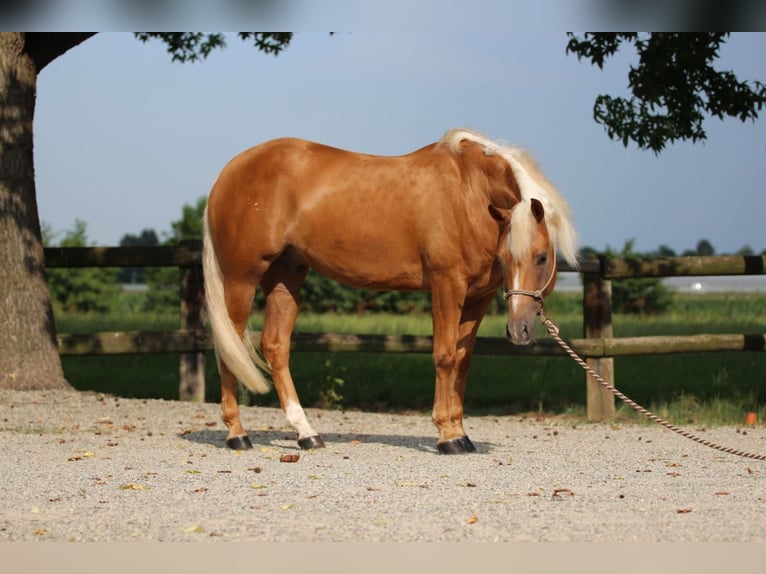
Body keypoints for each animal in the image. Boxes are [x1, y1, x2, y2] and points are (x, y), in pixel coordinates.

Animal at [202, 128, 578, 454]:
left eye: (541, 257)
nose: (519, 331)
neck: (469, 192)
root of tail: (228, 173)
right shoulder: (447, 284)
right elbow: (444, 355)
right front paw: (447, 437)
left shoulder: (478, 296)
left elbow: (462, 359)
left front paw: (461, 432)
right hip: (241, 279)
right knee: (229, 346)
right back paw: (237, 434)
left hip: (286, 277)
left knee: (275, 346)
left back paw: (306, 433)